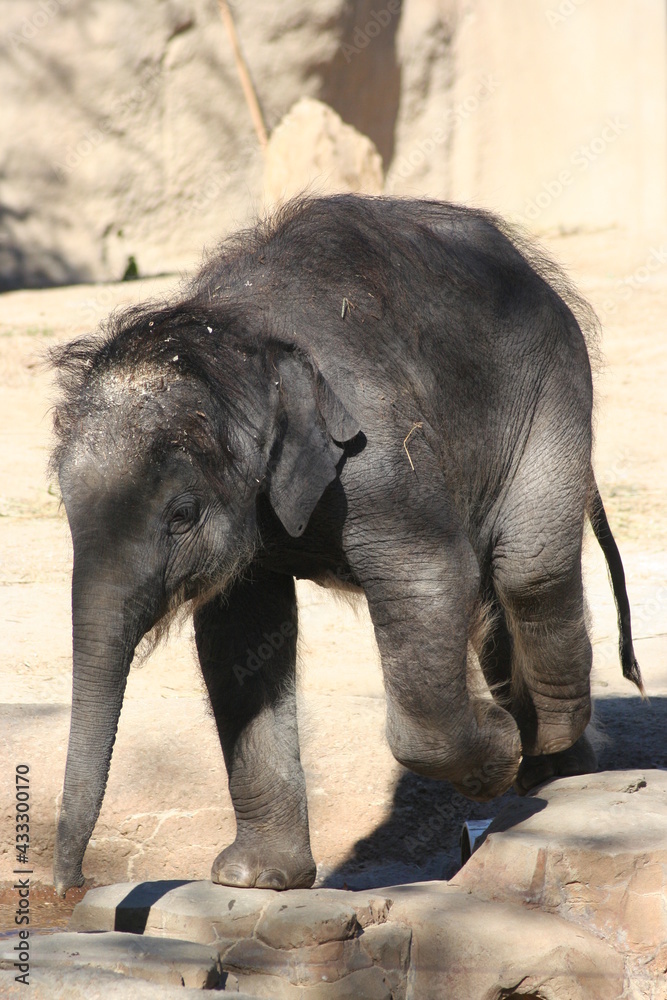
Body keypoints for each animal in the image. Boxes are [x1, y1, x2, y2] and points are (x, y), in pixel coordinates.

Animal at [50, 194, 643, 895]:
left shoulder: (378, 454)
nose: (68, 885)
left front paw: (498, 748)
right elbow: (237, 640)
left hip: (549, 394)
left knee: (527, 568)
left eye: (182, 515)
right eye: (63, 504)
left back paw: (547, 747)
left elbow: (430, 575)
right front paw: (254, 879)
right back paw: (550, 772)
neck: (235, 336)